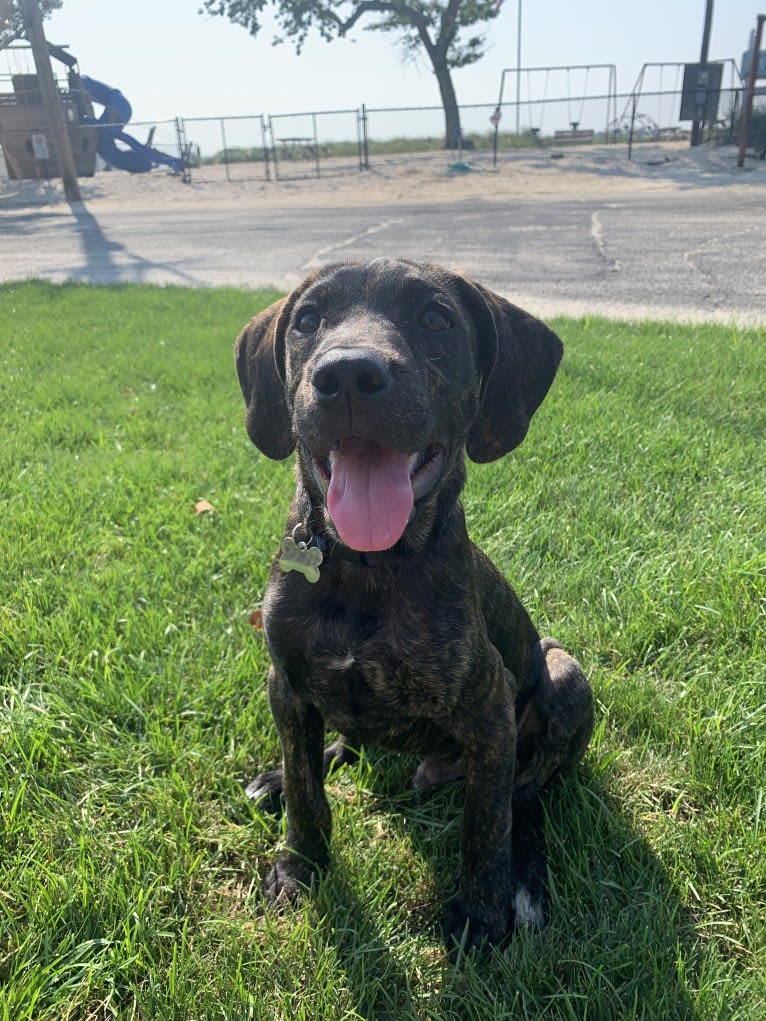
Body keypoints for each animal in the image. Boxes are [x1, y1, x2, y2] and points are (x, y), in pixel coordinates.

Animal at [236, 259, 596, 951]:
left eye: (435, 318)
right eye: (307, 320)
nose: (348, 375)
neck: (364, 570)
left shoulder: (490, 710)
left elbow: (485, 825)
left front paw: (482, 912)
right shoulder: (284, 683)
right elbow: (306, 790)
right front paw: (300, 863)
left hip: (564, 674)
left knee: (524, 796)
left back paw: (525, 880)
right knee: (336, 743)